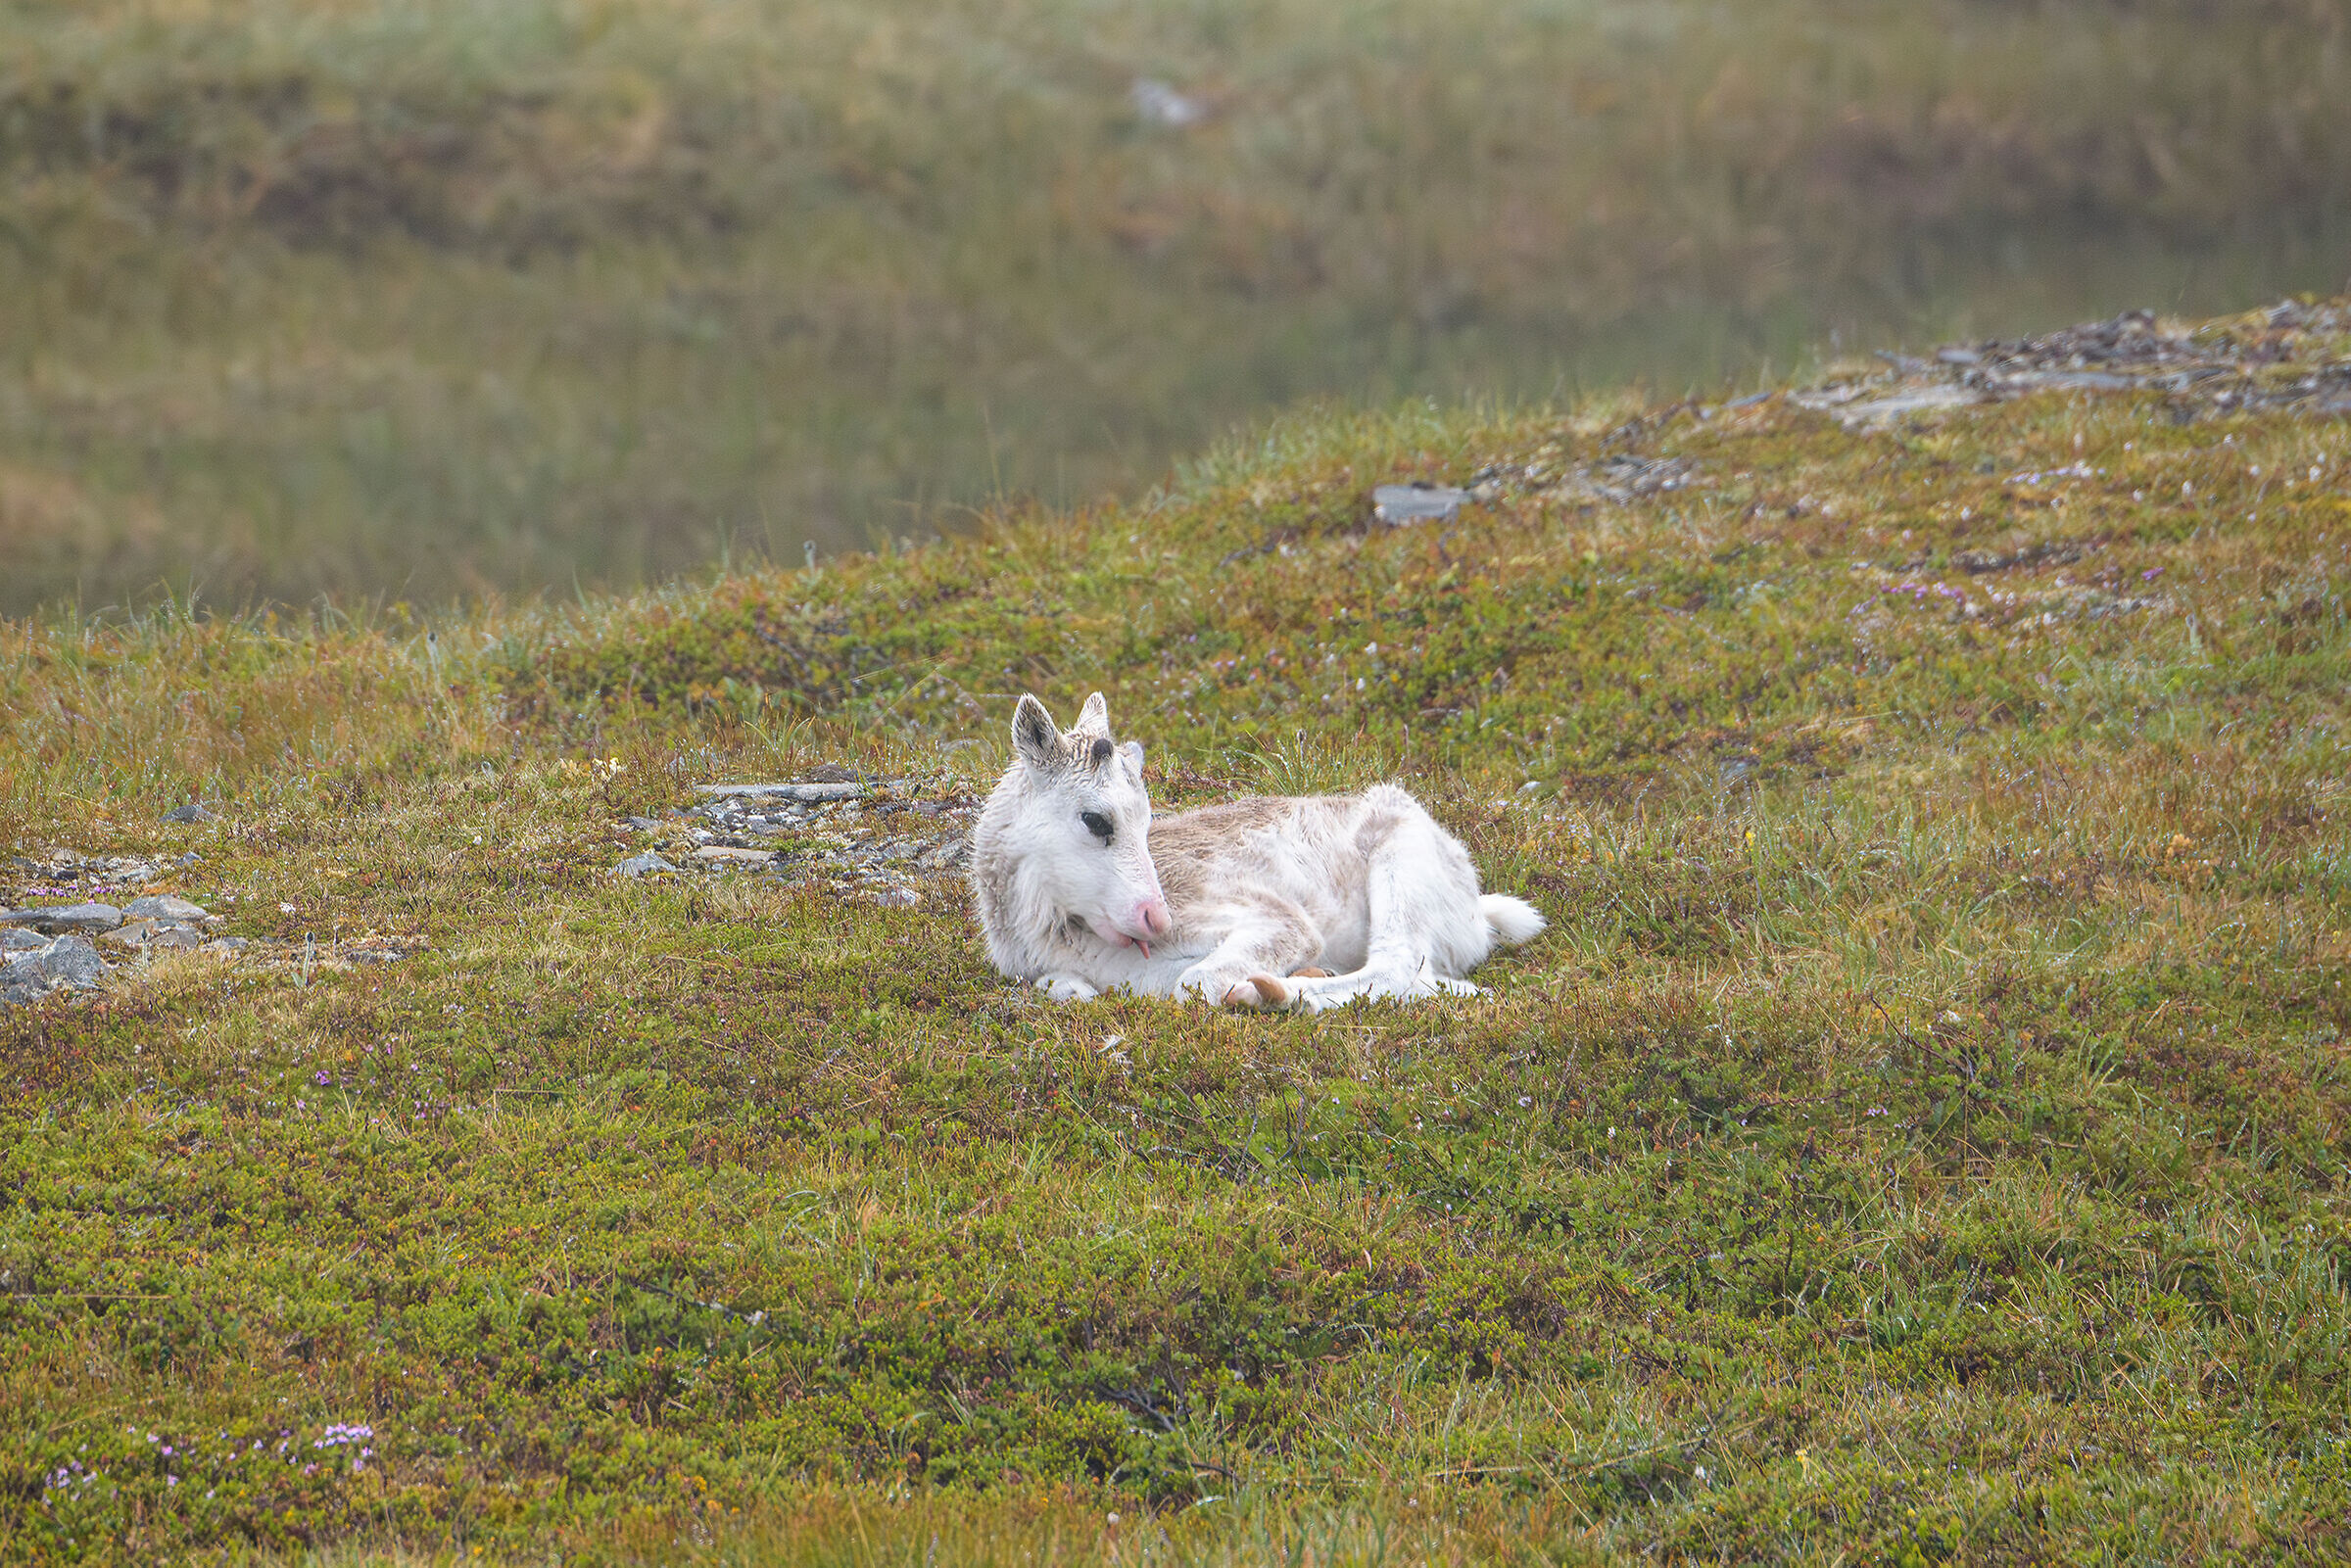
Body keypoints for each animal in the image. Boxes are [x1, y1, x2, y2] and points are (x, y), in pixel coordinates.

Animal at [968, 692, 1545, 1010]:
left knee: (1396, 965)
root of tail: (1477, 906)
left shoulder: (1280, 921)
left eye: (1147, 821)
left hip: (1400, 861)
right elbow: (1062, 988)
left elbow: (1195, 982)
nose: (1156, 917)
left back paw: (1273, 993)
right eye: (1095, 819)